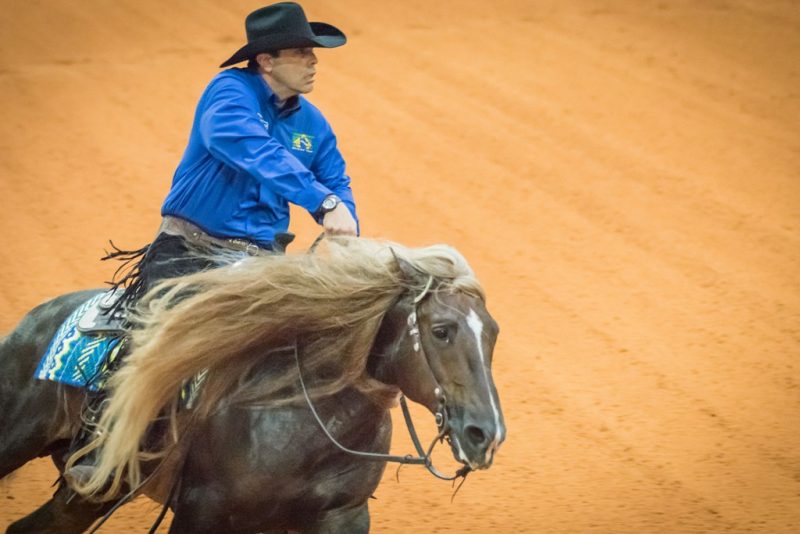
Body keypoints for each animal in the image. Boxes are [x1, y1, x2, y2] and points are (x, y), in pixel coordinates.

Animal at [0, 237, 505, 533]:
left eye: (493, 333)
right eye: (441, 330)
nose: (486, 434)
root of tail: (37, 318)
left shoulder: (343, 515)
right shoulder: (202, 510)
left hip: (83, 496)